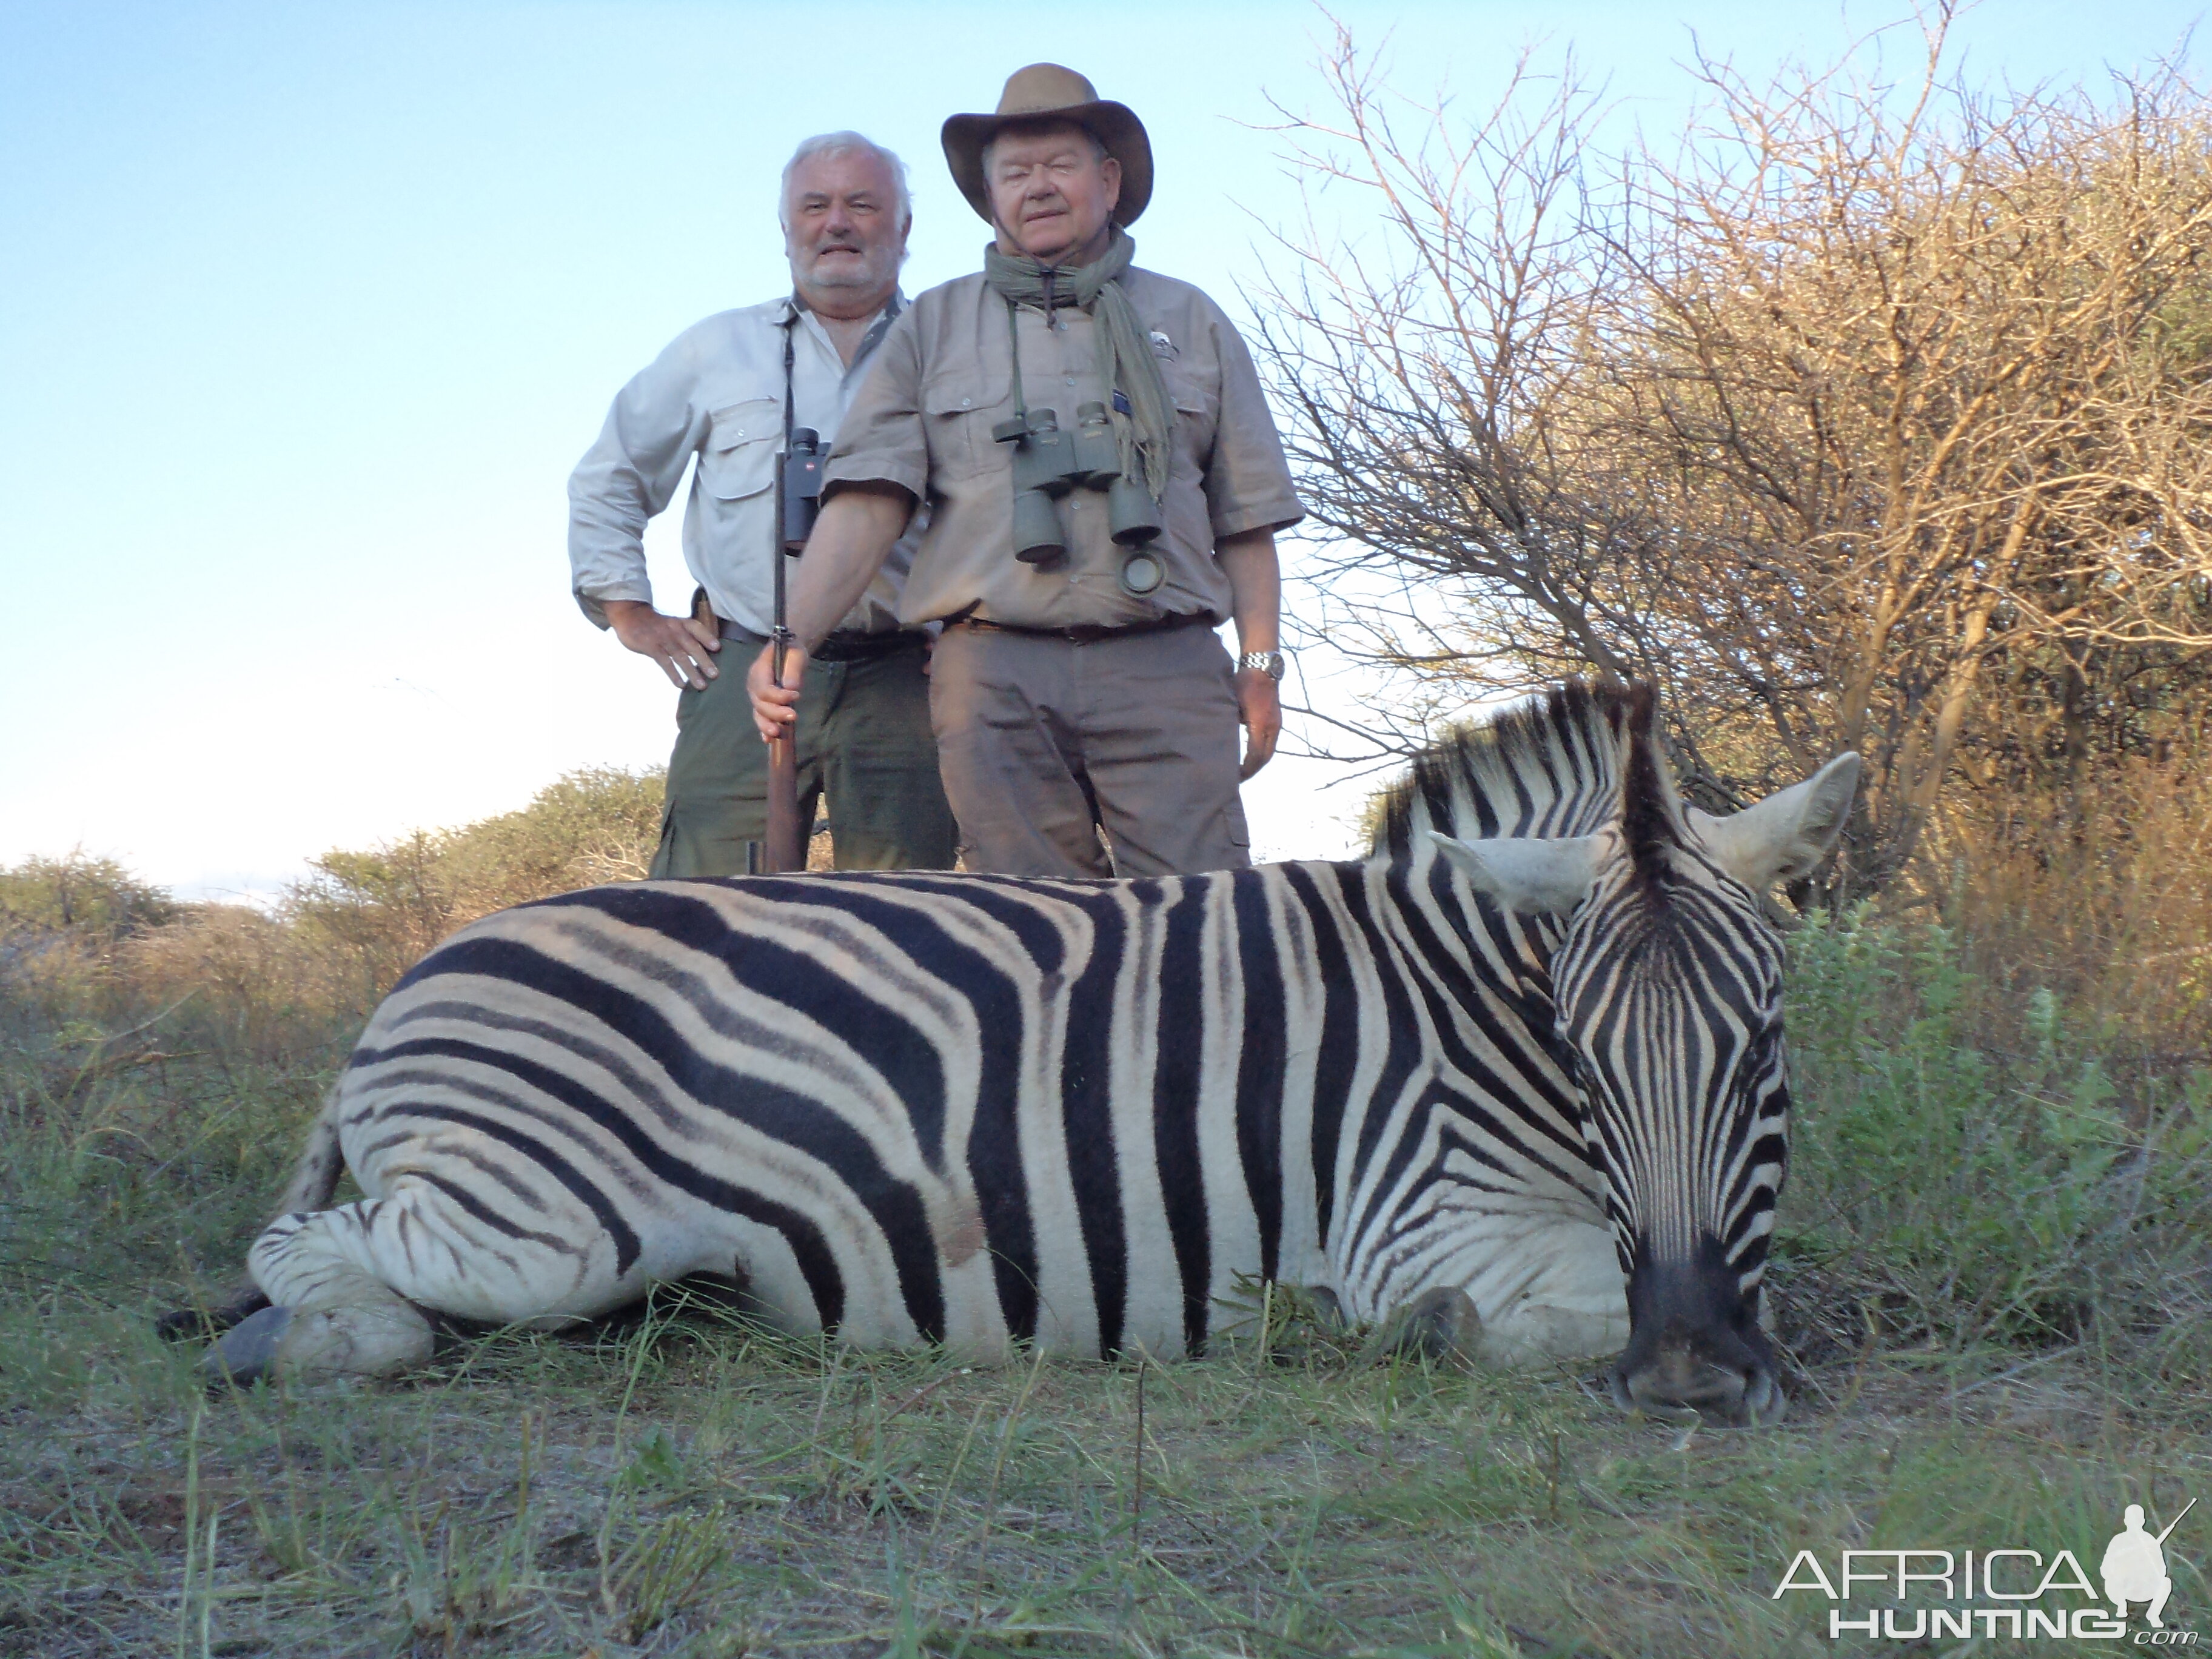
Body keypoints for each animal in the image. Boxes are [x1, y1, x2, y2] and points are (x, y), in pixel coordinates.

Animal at [172, 681, 1858, 1424]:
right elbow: (1544, 1310)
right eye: (1582, 1055)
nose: (1691, 1371)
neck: (1458, 989)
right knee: (317, 1255)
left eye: (1765, 1040)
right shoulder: (1419, 1221)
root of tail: (412, 976)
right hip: (543, 1222)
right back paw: (300, 1341)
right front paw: (1405, 1337)